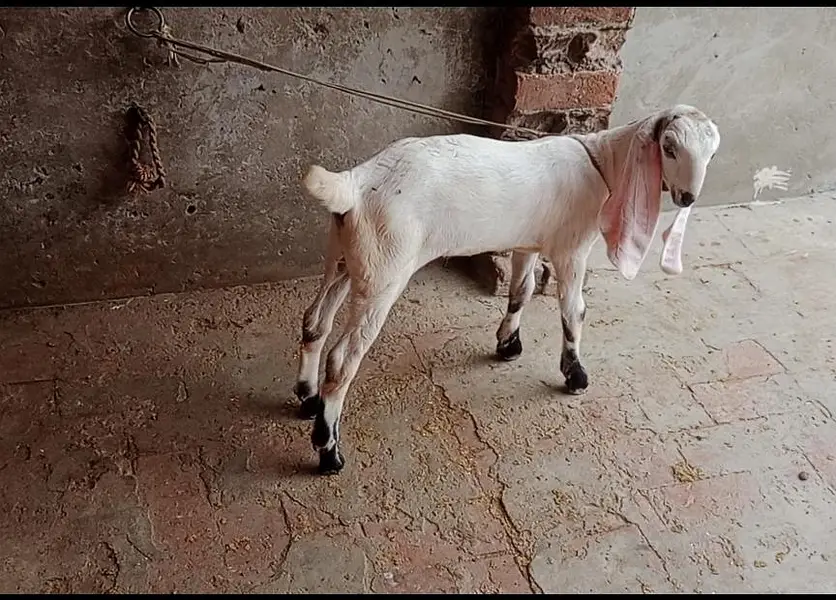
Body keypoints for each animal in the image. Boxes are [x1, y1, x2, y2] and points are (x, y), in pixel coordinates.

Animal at [293, 104, 721, 474]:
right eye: (669, 147)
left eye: (712, 154)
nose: (688, 197)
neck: (602, 163)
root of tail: (356, 182)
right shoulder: (571, 250)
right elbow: (573, 310)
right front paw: (575, 375)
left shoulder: (526, 244)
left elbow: (522, 290)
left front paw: (508, 344)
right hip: (385, 270)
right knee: (342, 360)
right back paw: (328, 450)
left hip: (345, 258)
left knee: (315, 322)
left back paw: (308, 397)